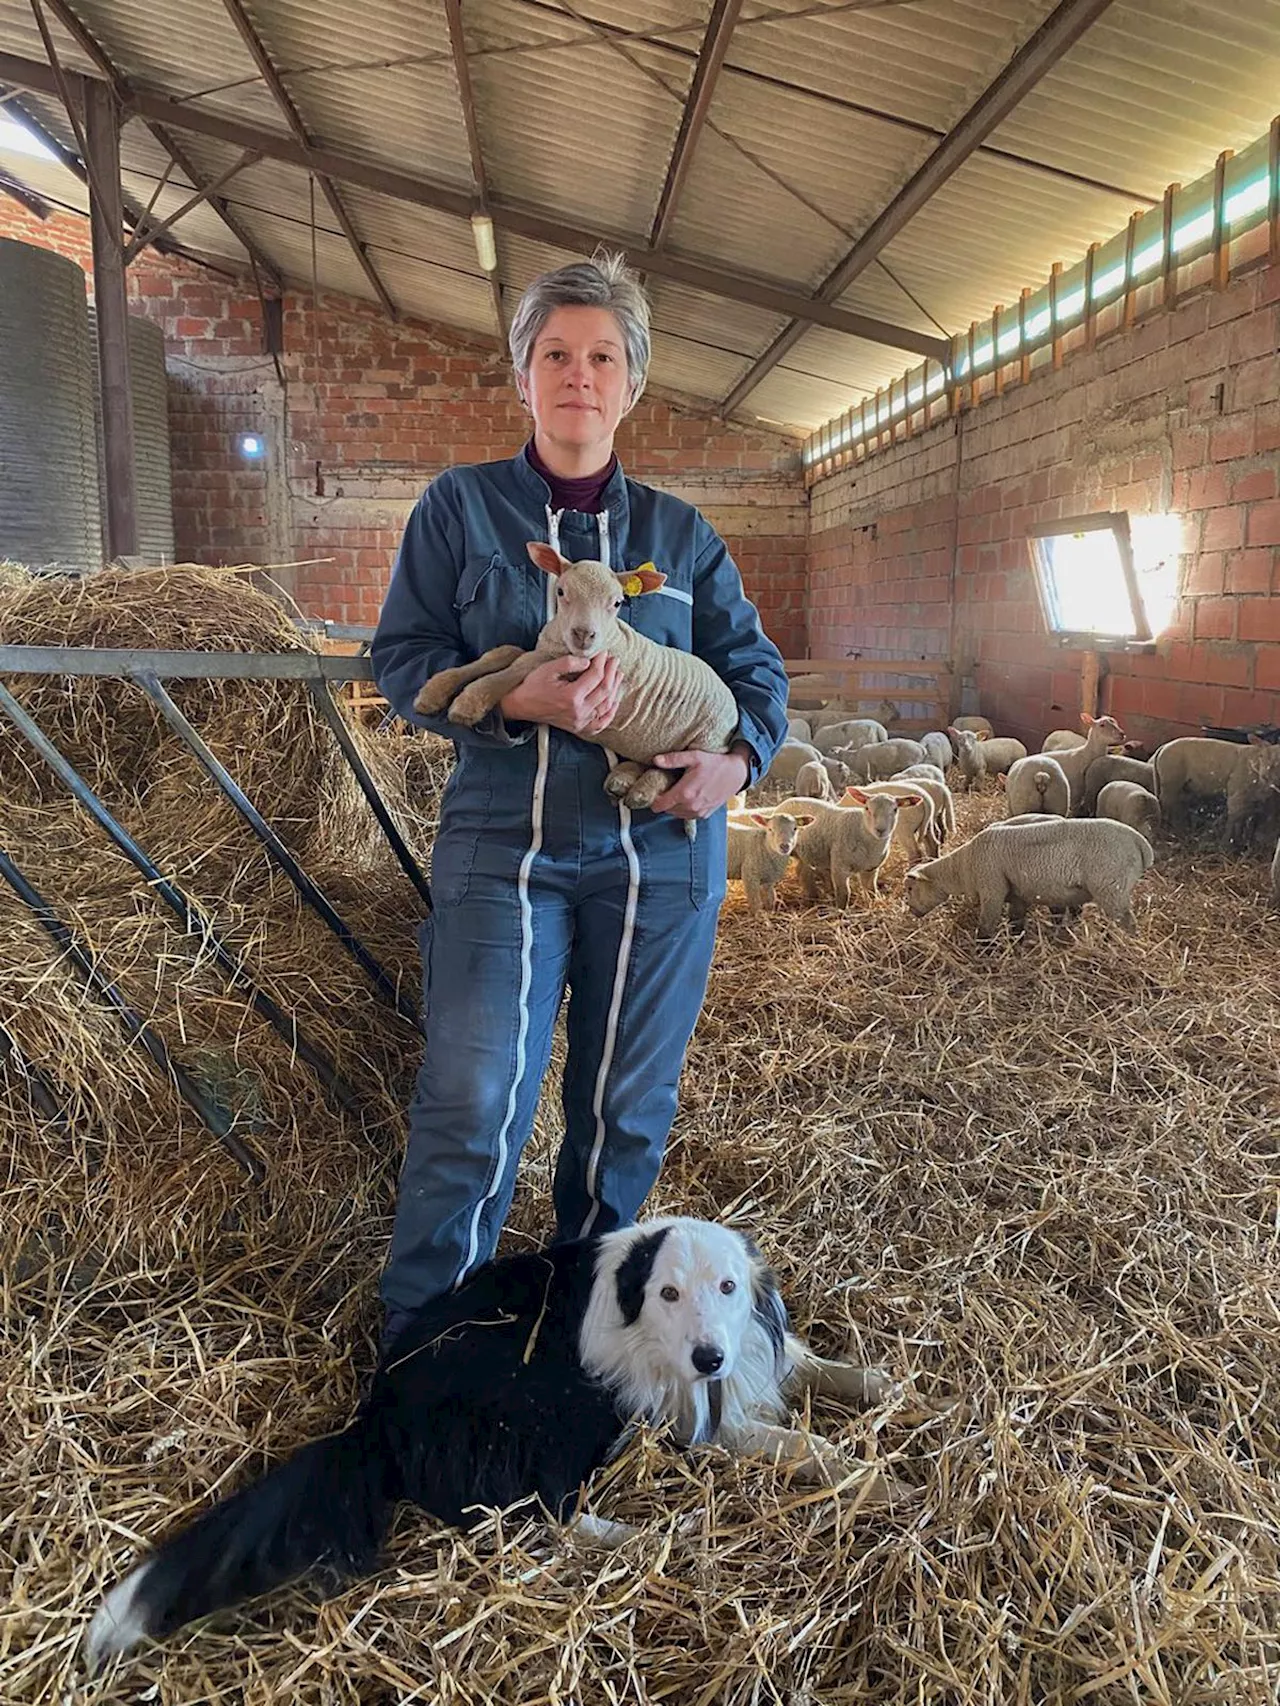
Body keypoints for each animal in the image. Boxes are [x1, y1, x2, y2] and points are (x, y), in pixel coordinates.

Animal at [421, 545, 737, 812]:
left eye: (617, 603)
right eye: (561, 591)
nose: (584, 635)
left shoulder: (572, 666)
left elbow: (522, 666)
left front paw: (469, 702)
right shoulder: (547, 650)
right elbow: (505, 653)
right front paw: (434, 691)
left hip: (706, 740)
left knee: (674, 769)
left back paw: (642, 791)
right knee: (652, 759)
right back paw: (622, 779)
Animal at [907, 815, 1160, 941]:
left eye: (909, 889)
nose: (912, 913)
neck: (962, 867)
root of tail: (1140, 843)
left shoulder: (992, 889)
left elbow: (986, 926)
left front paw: (983, 952)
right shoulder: (1017, 894)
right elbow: (1016, 923)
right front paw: (1017, 943)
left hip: (1111, 887)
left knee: (1126, 923)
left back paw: (1125, 946)